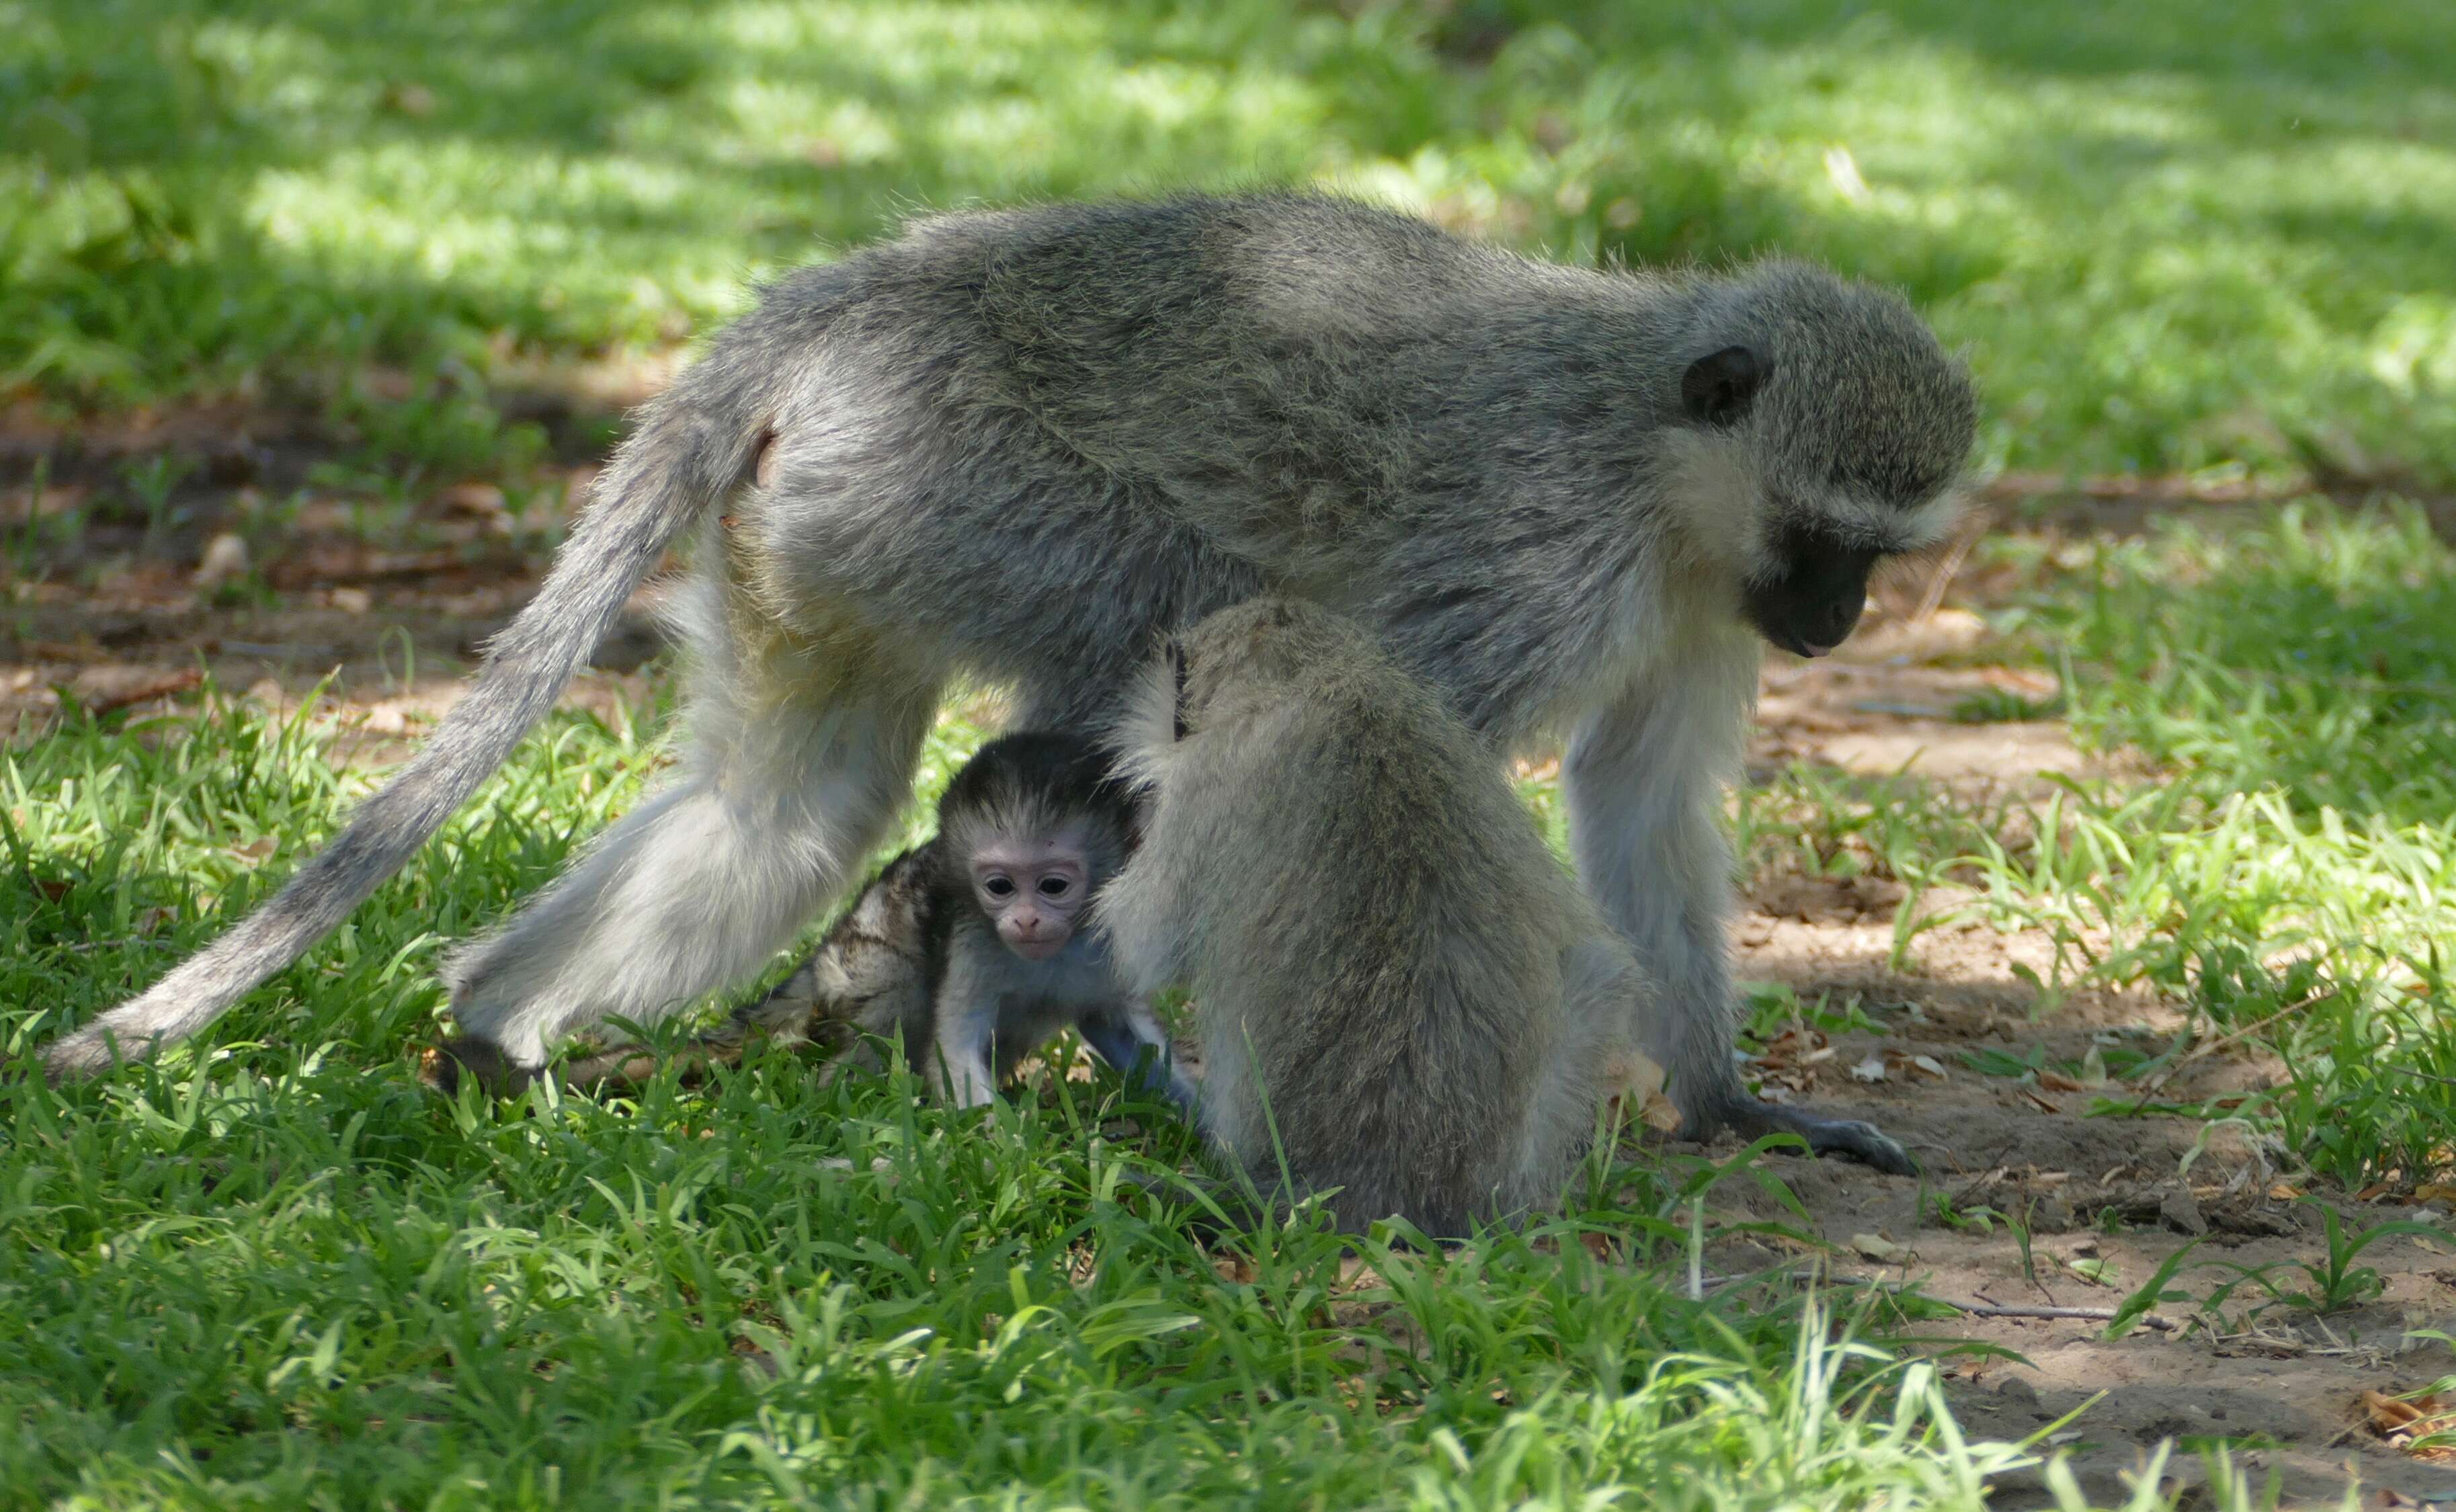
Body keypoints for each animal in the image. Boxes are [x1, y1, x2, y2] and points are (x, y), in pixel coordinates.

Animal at [481, 731, 1198, 1109]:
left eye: (1053, 886)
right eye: (998, 887)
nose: (1024, 921)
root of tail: (822, 953)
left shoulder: (1116, 934)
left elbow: (1127, 1034)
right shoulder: (972, 934)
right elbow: (954, 1039)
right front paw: (1004, 1150)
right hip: (856, 964)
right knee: (899, 987)